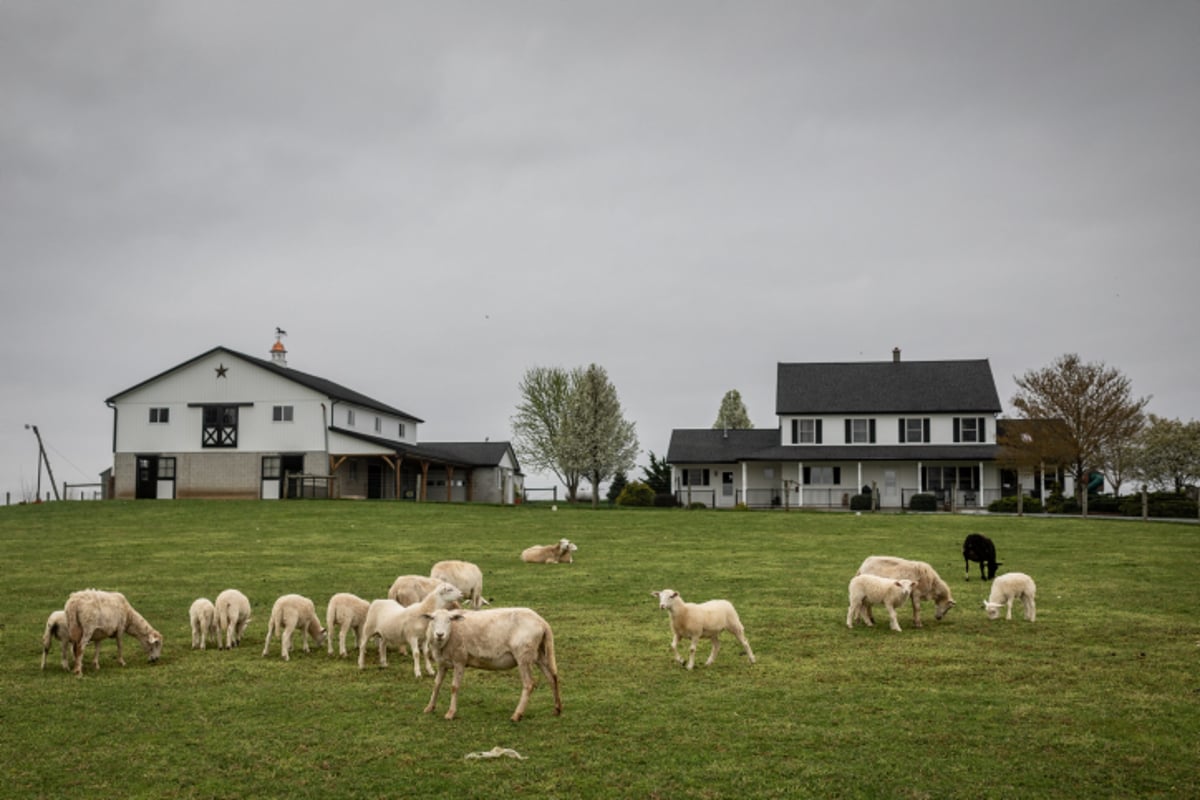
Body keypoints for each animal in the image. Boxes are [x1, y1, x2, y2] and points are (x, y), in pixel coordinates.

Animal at [422, 604, 561, 724]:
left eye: (449, 620)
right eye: (433, 619)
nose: (440, 634)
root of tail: (542, 622)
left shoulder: (459, 660)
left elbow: (454, 687)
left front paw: (450, 713)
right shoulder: (442, 664)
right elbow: (436, 684)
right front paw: (429, 707)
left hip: (523, 655)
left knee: (529, 684)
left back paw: (517, 715)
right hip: (538, 654)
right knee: (552, 678)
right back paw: (557, 709)